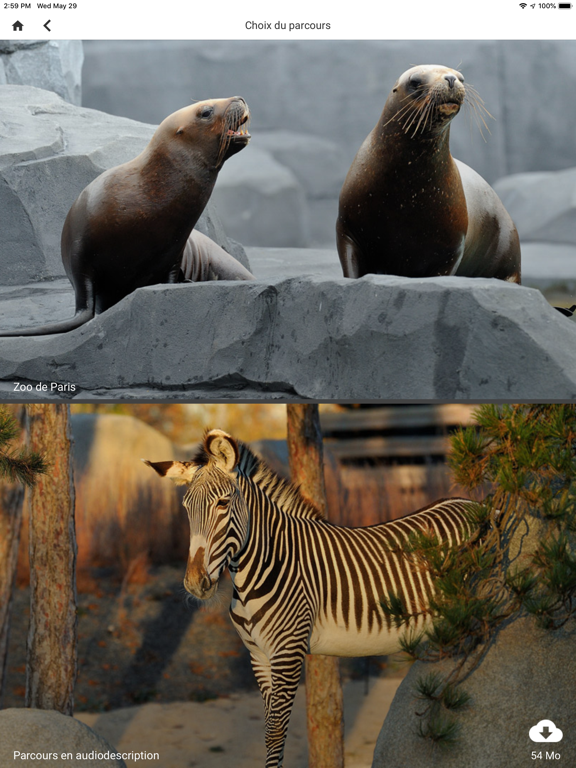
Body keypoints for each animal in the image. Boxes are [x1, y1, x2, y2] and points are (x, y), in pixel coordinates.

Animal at [145, 428, 476, 764]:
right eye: (186, 508)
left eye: (223, 503)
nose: (195, 583)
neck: (259, 570)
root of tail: (470, 503)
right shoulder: (259, 656)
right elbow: (270, 735)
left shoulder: (288, 653)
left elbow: (276, 734)